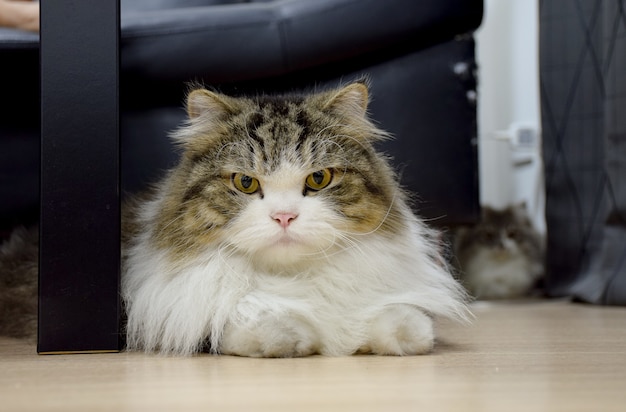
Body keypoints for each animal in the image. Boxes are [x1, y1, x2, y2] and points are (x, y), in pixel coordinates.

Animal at [1, 81, 468, 358]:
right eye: (245, 182)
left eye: (318, 179)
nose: (284, 216)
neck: (290, 279)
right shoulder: (143, 316)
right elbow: (241, 326)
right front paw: (298, 334)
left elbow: (407, 323)